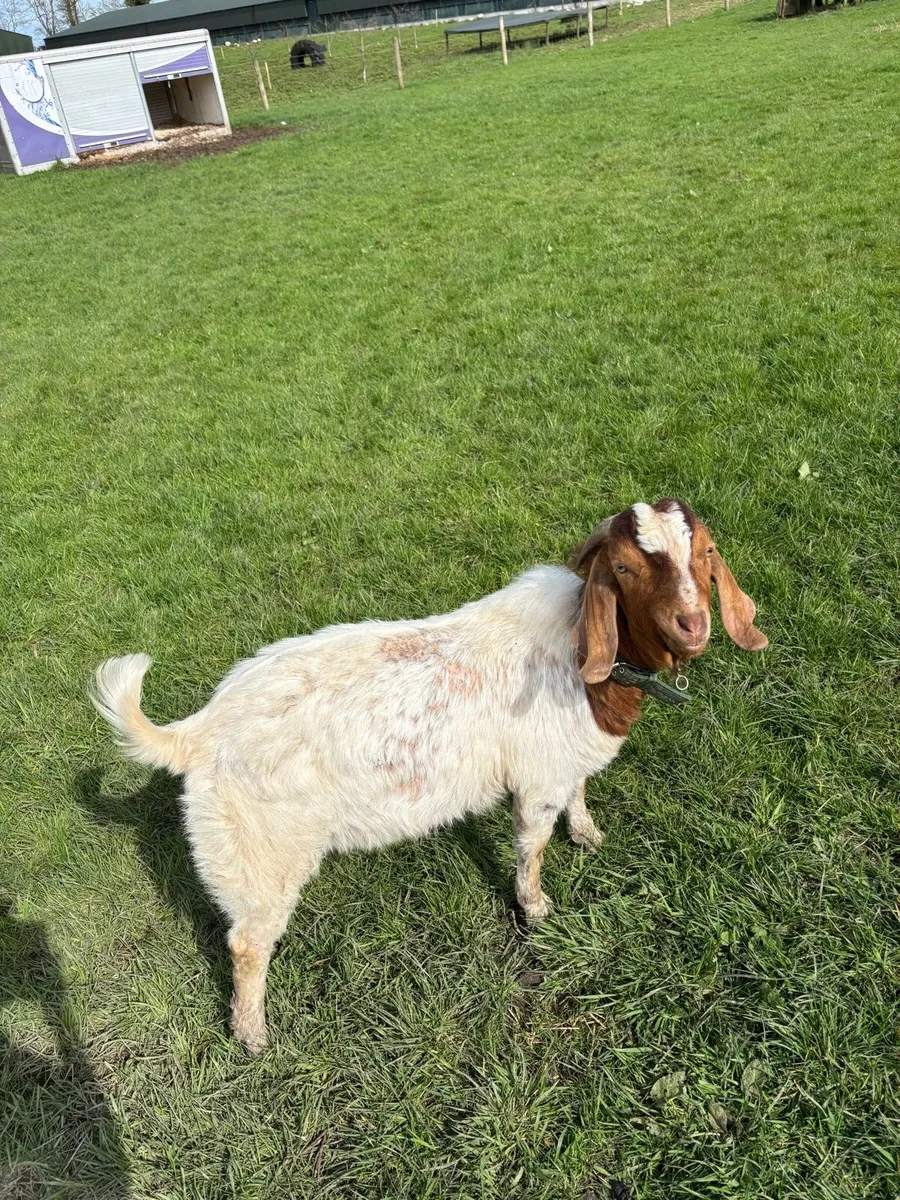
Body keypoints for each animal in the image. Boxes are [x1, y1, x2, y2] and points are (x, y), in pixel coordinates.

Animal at [92, 499, 767, 1053]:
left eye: (706, 552)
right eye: (623, 568)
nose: (692, 625)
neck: (586, 659)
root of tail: (198, 731)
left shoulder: (566, 757)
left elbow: (578, 794)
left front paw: (587, 833)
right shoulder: (537, 777)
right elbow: (532, 846)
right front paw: (536, 909)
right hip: (260, 852)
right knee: (247, 942)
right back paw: (253, 1034)